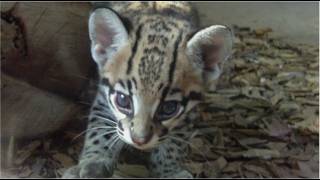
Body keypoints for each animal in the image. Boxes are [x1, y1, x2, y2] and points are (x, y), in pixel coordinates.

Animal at [62, 1, 232, 179]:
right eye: (123, 100)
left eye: (169, 108)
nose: (139, 140)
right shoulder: (104, 95)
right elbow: (99, 127)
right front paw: (93, 161)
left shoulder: (188, 110)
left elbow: (175, 141)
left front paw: (169, 171)